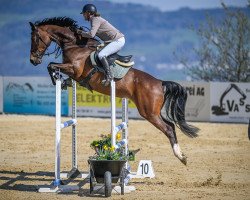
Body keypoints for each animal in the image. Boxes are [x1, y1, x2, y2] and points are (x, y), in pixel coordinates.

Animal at [28, 16, 199, 164]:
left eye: (35, 38)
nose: (33, 60)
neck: (75, 45)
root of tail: (159, 83)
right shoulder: (73, 73)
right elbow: (55, 68)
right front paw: (63, 82)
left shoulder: (74, 69)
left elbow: (51, 65)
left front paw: (56, 79)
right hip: (153, 112)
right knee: (171, 125)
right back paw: (181, 154)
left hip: (149, 112)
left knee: (168, 128)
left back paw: (180, 157)